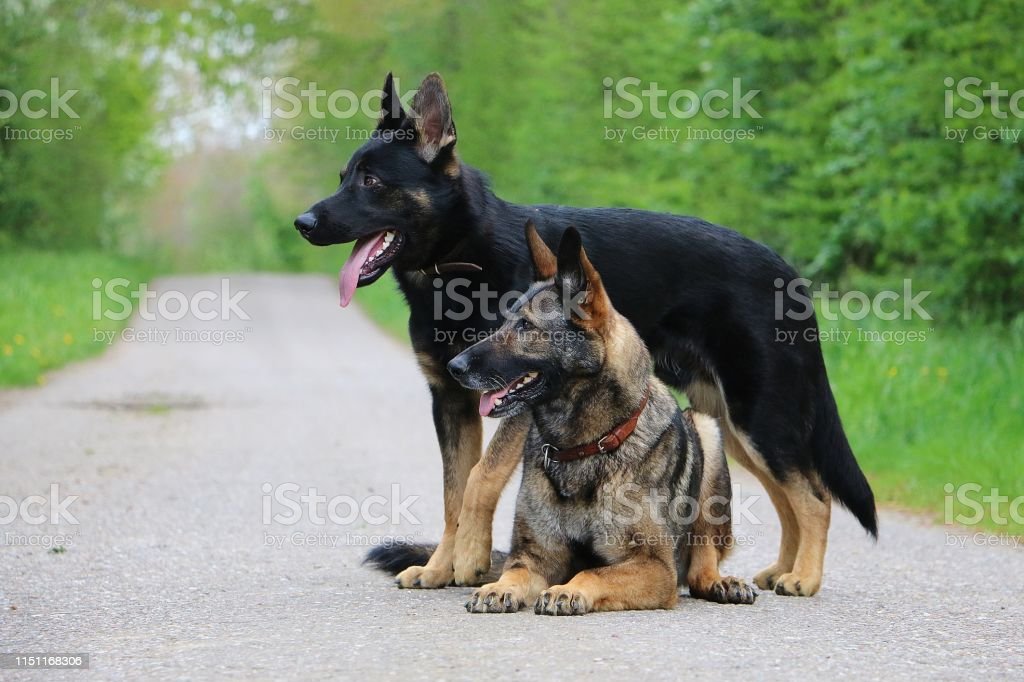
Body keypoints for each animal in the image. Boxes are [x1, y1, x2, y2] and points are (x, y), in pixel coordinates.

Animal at [450, 224, 761, 610]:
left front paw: (567, 590)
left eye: (525, 326)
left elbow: (593, 572)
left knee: (702, 562)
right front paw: (498, 587)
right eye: (507, 322)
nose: (454, 367)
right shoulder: (535, 557)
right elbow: (515, 572)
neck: (585, 446)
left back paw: (721, 582)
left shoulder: (654, 567)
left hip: (707, 434)